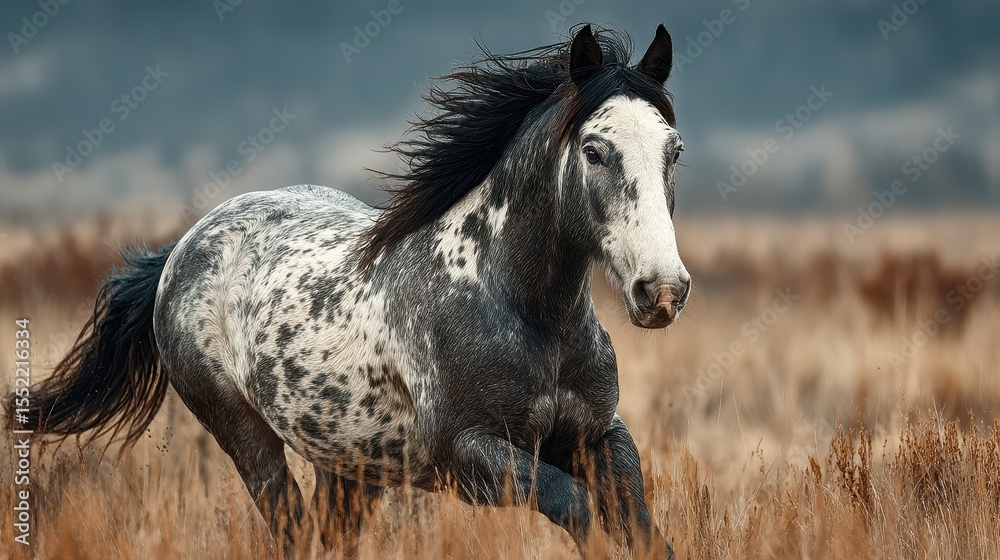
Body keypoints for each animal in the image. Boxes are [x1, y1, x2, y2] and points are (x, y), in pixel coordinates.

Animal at [17, 24, 690, 558]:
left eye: (673, 150)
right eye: (594, 150)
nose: (661, 291)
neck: (525, 313)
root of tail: (182, 248)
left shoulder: (600, 437)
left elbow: (641, 527)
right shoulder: (470, 455)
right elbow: (576, 508)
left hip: (348, 465)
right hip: (247, 437)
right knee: (288, 527)